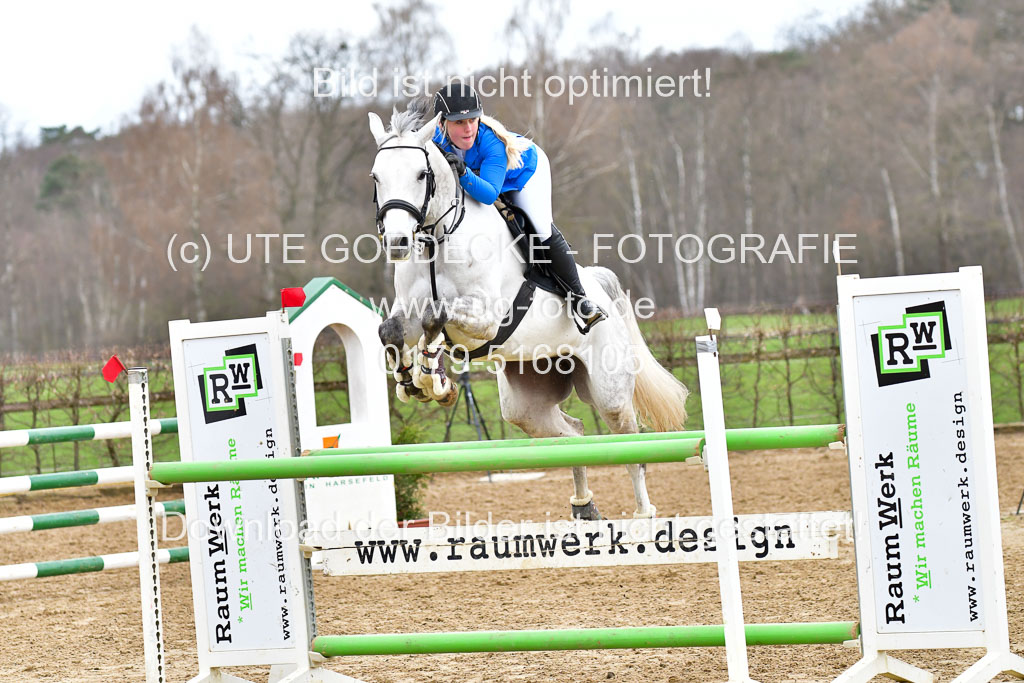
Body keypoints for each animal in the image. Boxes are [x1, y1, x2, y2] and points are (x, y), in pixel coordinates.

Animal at [367, 107, 689, 520]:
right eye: (376, 177)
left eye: (421, 175)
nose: (397, 243)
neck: (439, 236)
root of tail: (601, 287)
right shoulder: (407, 311)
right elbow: (392, 330)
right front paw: (413, 380)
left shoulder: (485, 320)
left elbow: (435, 318)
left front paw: (431, 378)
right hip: (526, 402)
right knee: (573, 433)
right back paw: (584, 506)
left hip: (609, 392)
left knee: (629, 442)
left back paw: (644, 513)